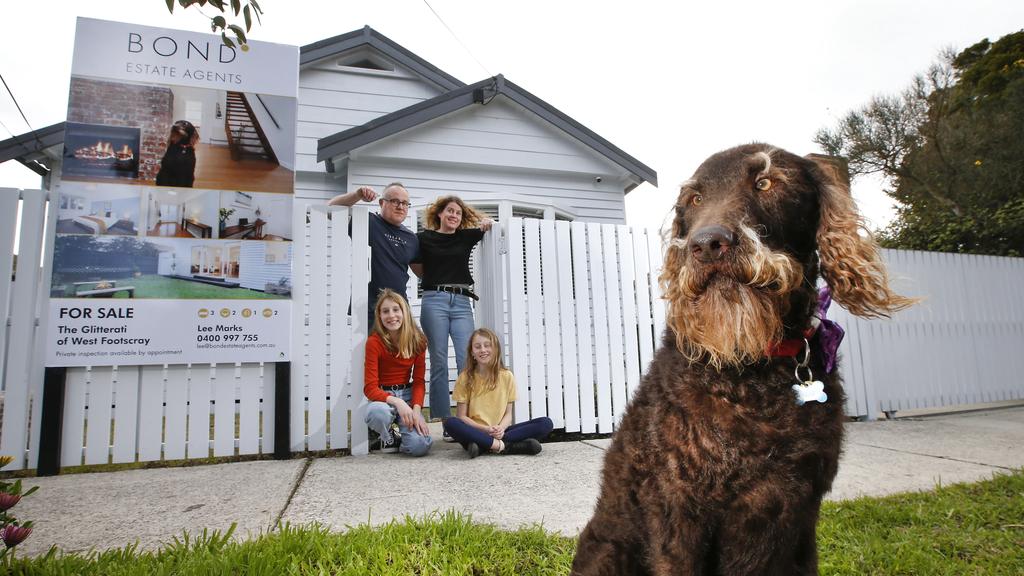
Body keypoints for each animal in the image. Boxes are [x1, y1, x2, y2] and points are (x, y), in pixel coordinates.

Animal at [573, 143, 917, 573]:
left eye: (765, 182)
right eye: (695, 199)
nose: (706, 244)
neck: (751, 368)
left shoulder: (801, 512)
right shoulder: (677, 510)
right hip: (610, 550)